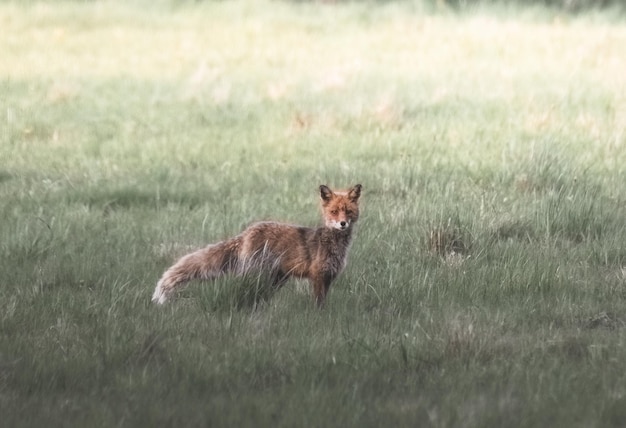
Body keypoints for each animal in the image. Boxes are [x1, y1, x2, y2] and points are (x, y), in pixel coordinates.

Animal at [151, 184, 360, 308]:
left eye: (348, 211)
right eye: (334, 212)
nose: (343, 224)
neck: (333, 244)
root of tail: (247, 232)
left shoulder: (328, 277)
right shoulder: (317, 276)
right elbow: (318, 304)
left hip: (275, 279)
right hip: (258, 274)